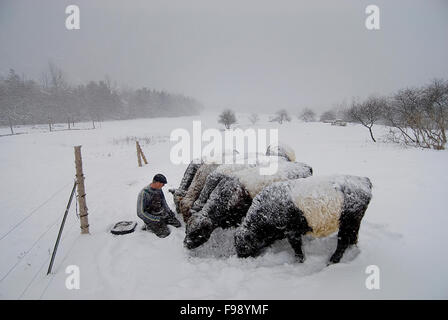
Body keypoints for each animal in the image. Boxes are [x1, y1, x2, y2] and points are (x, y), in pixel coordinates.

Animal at [233, 176, 372, 264]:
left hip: (348, 222)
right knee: (353, 238)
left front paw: (299, 261)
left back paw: (333, 260)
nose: (240, 258)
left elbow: (297, 248)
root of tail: (364, 181)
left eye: (243, 246)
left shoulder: (291, 231)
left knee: (343, 242)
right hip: (354, 222)